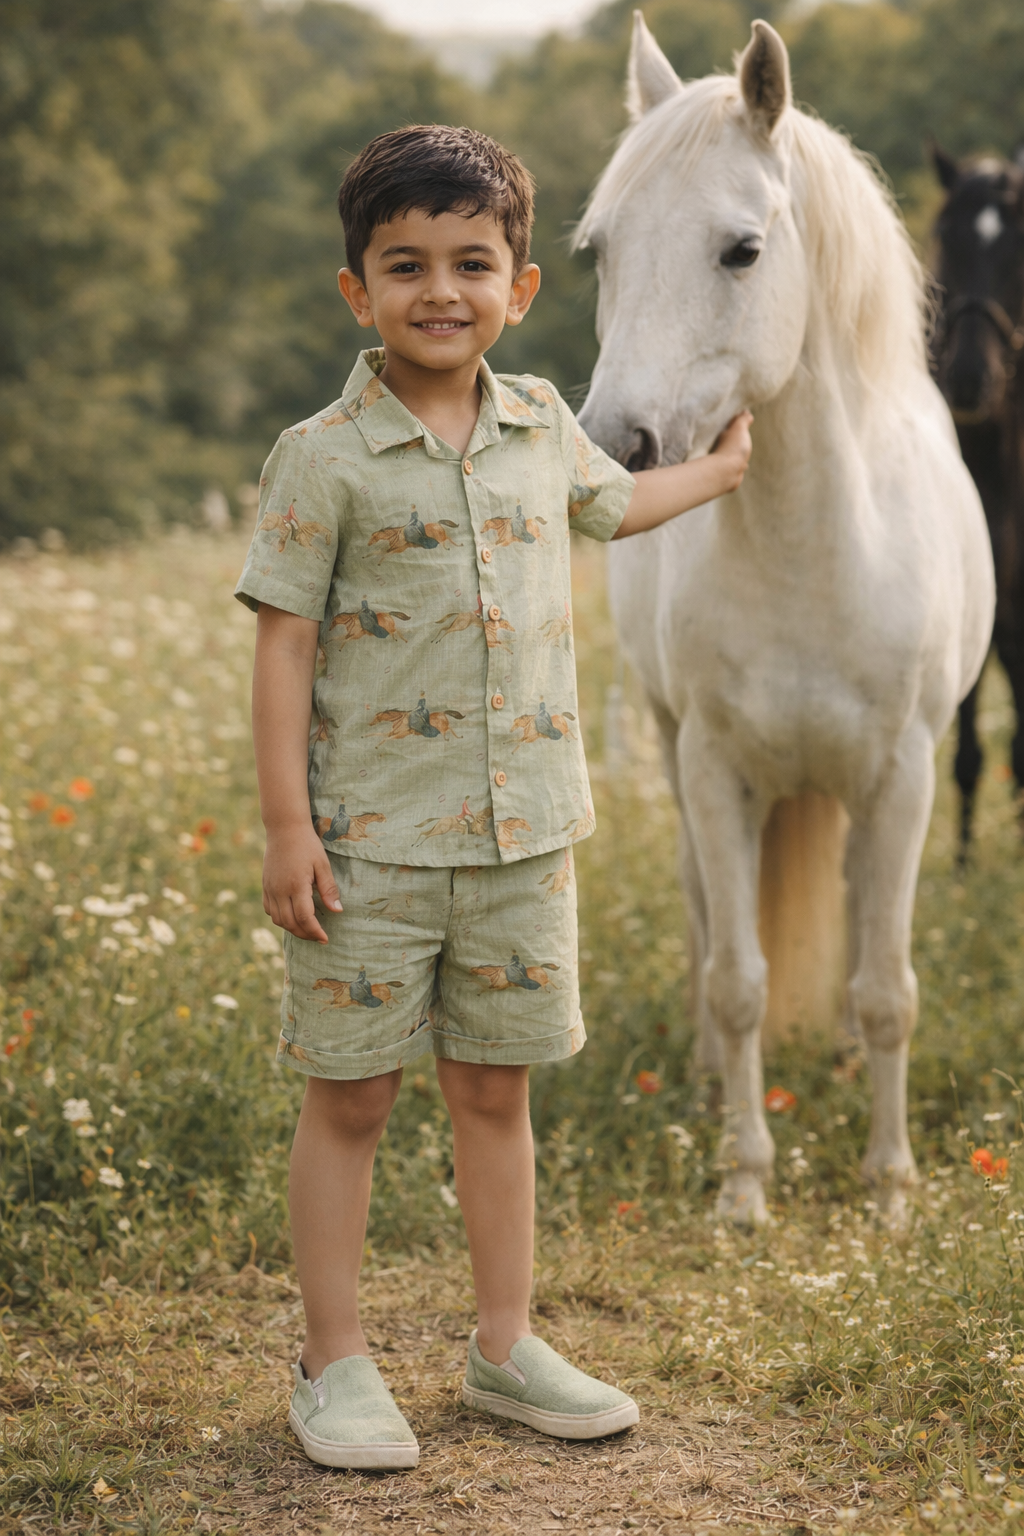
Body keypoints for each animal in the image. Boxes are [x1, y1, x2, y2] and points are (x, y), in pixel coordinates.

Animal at [575, 15, 994, 1225]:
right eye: (600, 250)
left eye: (741, 251)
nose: (614, 448)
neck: (814, 550)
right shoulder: (715, 770)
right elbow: (738, 979)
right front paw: (742, 1186)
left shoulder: (903, 777)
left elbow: (889, 984)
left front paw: (890, 1191)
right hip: (673, 753)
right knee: (705, 917)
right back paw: (711, 1080)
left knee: (856, 915)